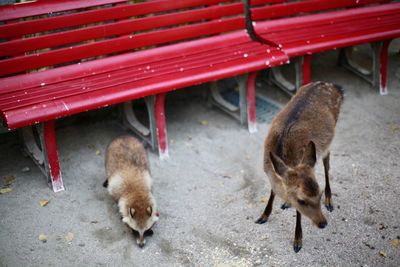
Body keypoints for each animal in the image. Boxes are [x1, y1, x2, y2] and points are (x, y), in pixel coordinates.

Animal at [256, 81, 344, 253]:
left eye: (319, 194)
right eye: (302, 200)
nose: (323, 223)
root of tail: (334, 85)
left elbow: (298, 214)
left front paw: (297, 241)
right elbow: (272, 191)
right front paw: (264, 216)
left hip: (330, 138)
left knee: (326, 163)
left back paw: (330, 201)